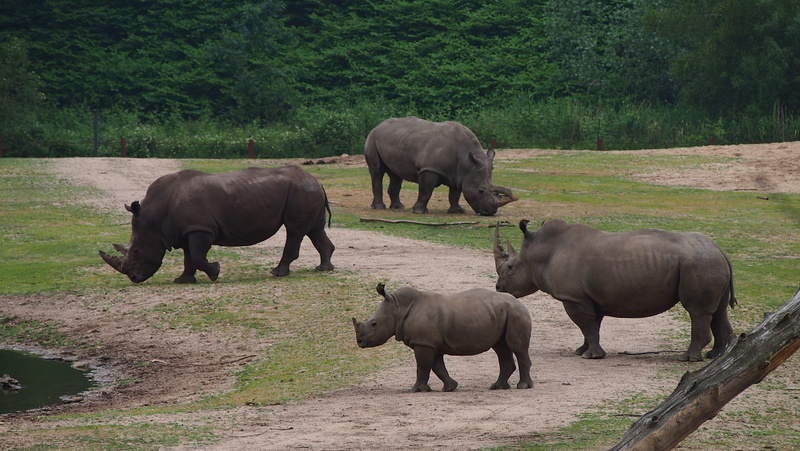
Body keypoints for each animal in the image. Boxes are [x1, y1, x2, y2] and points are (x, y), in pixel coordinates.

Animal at [99, 166, 335, 283]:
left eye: (136, 252)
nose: (133, 278)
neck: (155, 215)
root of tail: (315, 179)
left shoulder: (201, 228)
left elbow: (196, 255)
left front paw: (215, 272)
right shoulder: (187, 230)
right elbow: (189, 257)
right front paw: (182, 280)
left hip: (300, 191)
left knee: (294, 230)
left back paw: (277, 273)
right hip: (305, 190)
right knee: (315, 230)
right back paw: (323, 268)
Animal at [352, 283, 534, 392]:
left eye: (374, 324)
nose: (359, 342)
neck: (398, 308)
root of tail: (521, 303)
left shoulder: (423, 343)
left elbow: (423, 366)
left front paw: (416, 390)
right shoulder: (431, 343)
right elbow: (437, 366)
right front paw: (450, 387)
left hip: (516, 313)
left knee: (517, 347)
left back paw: (523, 386)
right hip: (503, 313)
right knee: (501, 347)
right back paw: (497, 387)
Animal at [364, 116, 517, 216]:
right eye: (481, 191)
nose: (490, 212)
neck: (467, 161)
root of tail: (378, 125)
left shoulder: (459, 174)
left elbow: (455, 194)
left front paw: (457, 211)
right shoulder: (429, 169)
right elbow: (426, 191)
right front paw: (418, 212)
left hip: (394, 139)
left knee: (396, 174)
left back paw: (398, 207)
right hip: (372, 138)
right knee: (377, 171)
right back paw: (379, 208)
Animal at [494, 219, 737, 362]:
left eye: (510, 267)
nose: (498, 288)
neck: (543, 252)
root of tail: (720, 250)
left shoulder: (574, 298)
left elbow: (586, 325)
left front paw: (592, 356)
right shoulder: (591, 298)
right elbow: (591, 326)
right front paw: (581, 351)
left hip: (699, 264)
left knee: (697, 311)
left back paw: (689, 358)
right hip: (709, 262)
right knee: (719, 311)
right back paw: (716, 356)